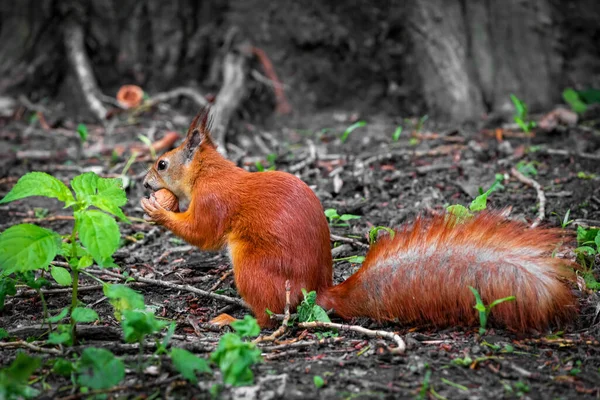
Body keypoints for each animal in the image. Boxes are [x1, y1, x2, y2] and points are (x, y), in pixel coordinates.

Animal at [141, 108, 576, 332]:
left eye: (162, 163)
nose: (143, 183)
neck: (207, 173)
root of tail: (318, 292)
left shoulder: (214, 202)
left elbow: (202, 233)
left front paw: (158, 210)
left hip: (253, 267)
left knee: (269, 318)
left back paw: (232, 319)